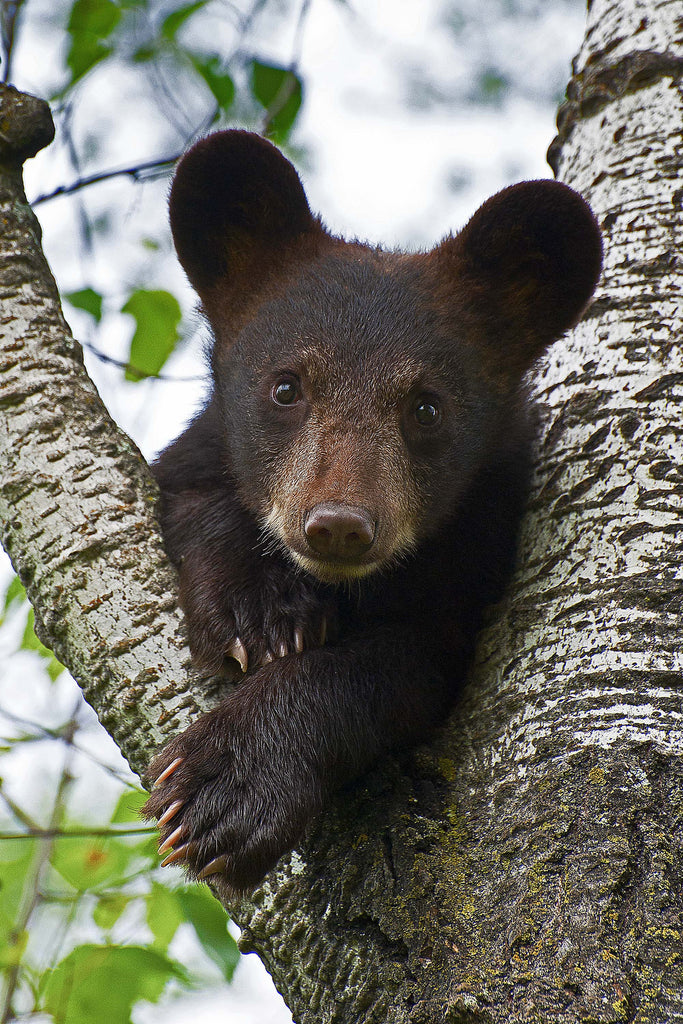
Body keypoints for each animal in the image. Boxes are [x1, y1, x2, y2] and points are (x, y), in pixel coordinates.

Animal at [143, 130, 602, 893]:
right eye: (286, 386)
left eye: (426, 407)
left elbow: (402, 664)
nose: (338, 525)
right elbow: (193, 495)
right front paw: (263, 610)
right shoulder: (198, 455)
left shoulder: (473, 556)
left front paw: (226, 786)